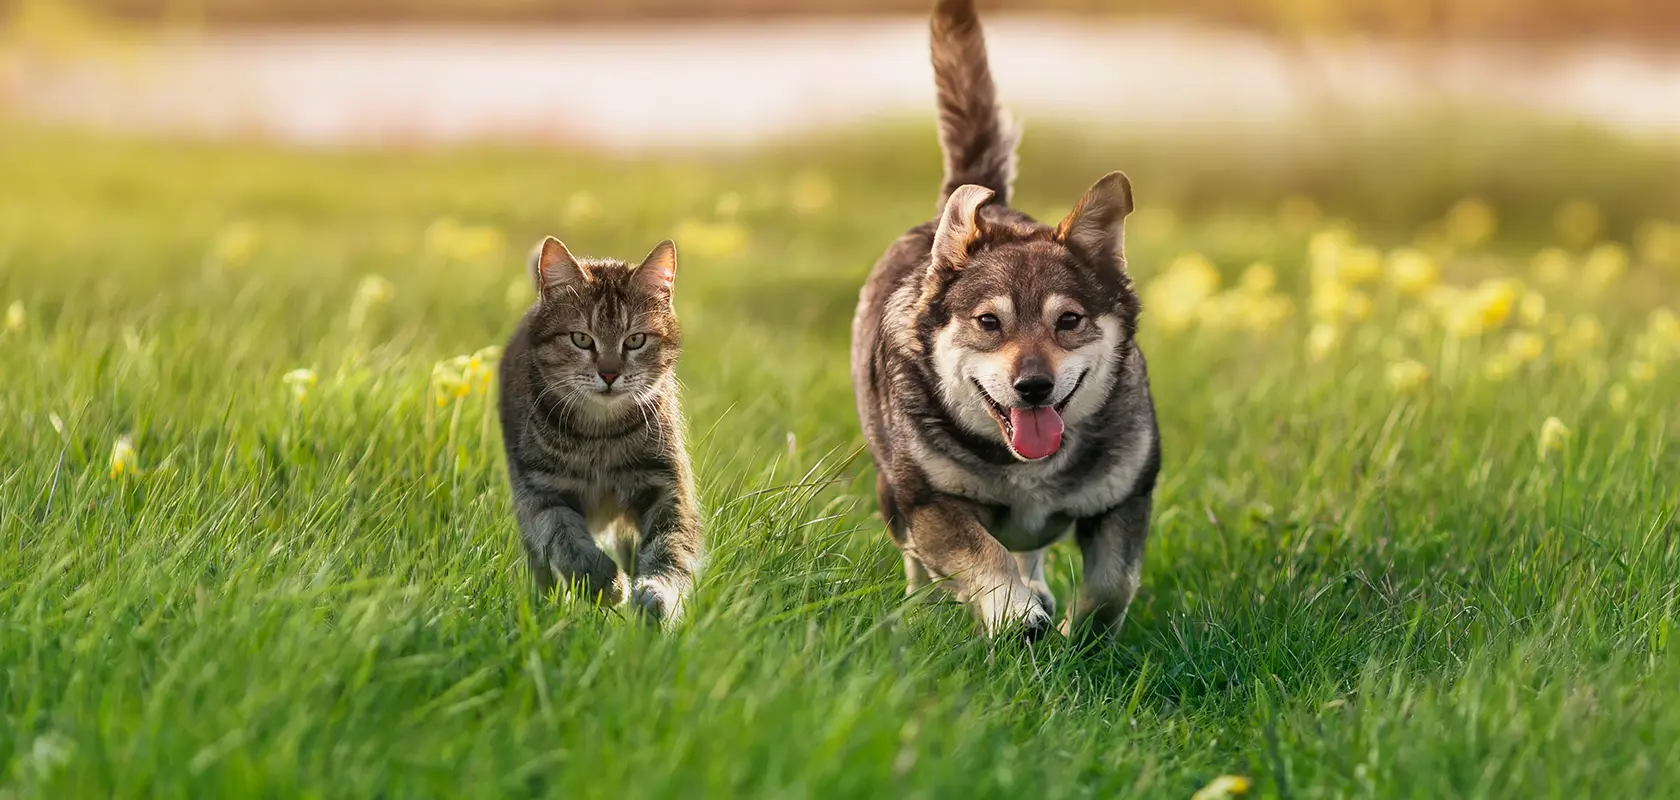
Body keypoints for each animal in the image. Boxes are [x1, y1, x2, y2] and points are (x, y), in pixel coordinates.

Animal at [500, 233, 705, 621]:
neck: (600, 434)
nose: (609, 374)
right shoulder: (539, 492)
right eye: (581, 339)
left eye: (635, 340)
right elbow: (565, 539)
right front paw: (604, 583)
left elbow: (669, 548)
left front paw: (657, 594)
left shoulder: (666, 488)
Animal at [846, 0, 1162, 642]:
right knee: (922, 560)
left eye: (1069, 320)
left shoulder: (1124, 499)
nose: (1033, 385)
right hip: (892, 493)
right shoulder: (928, 501)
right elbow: (979, 552)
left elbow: (1112, 585)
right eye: (989, 322)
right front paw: (1014, 613)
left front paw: (1080, 635)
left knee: (1029, 550)